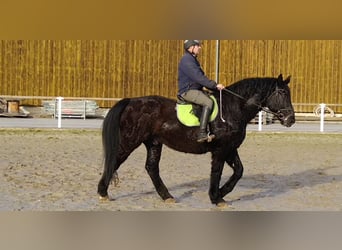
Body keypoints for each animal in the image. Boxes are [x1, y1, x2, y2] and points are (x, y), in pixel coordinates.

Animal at [97, 73, 296, 205]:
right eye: (282, 93)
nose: (291, 120)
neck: (232, 109)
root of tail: (131, 101)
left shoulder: (231, 148)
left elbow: (239, 171)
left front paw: (222, 193)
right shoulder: (221, 149)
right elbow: (216, 172)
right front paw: (215, 197)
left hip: (153, 143)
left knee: (151, 168)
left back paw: (167, 197)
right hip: (130, 141)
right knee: (115, 161)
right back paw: (102, 193)